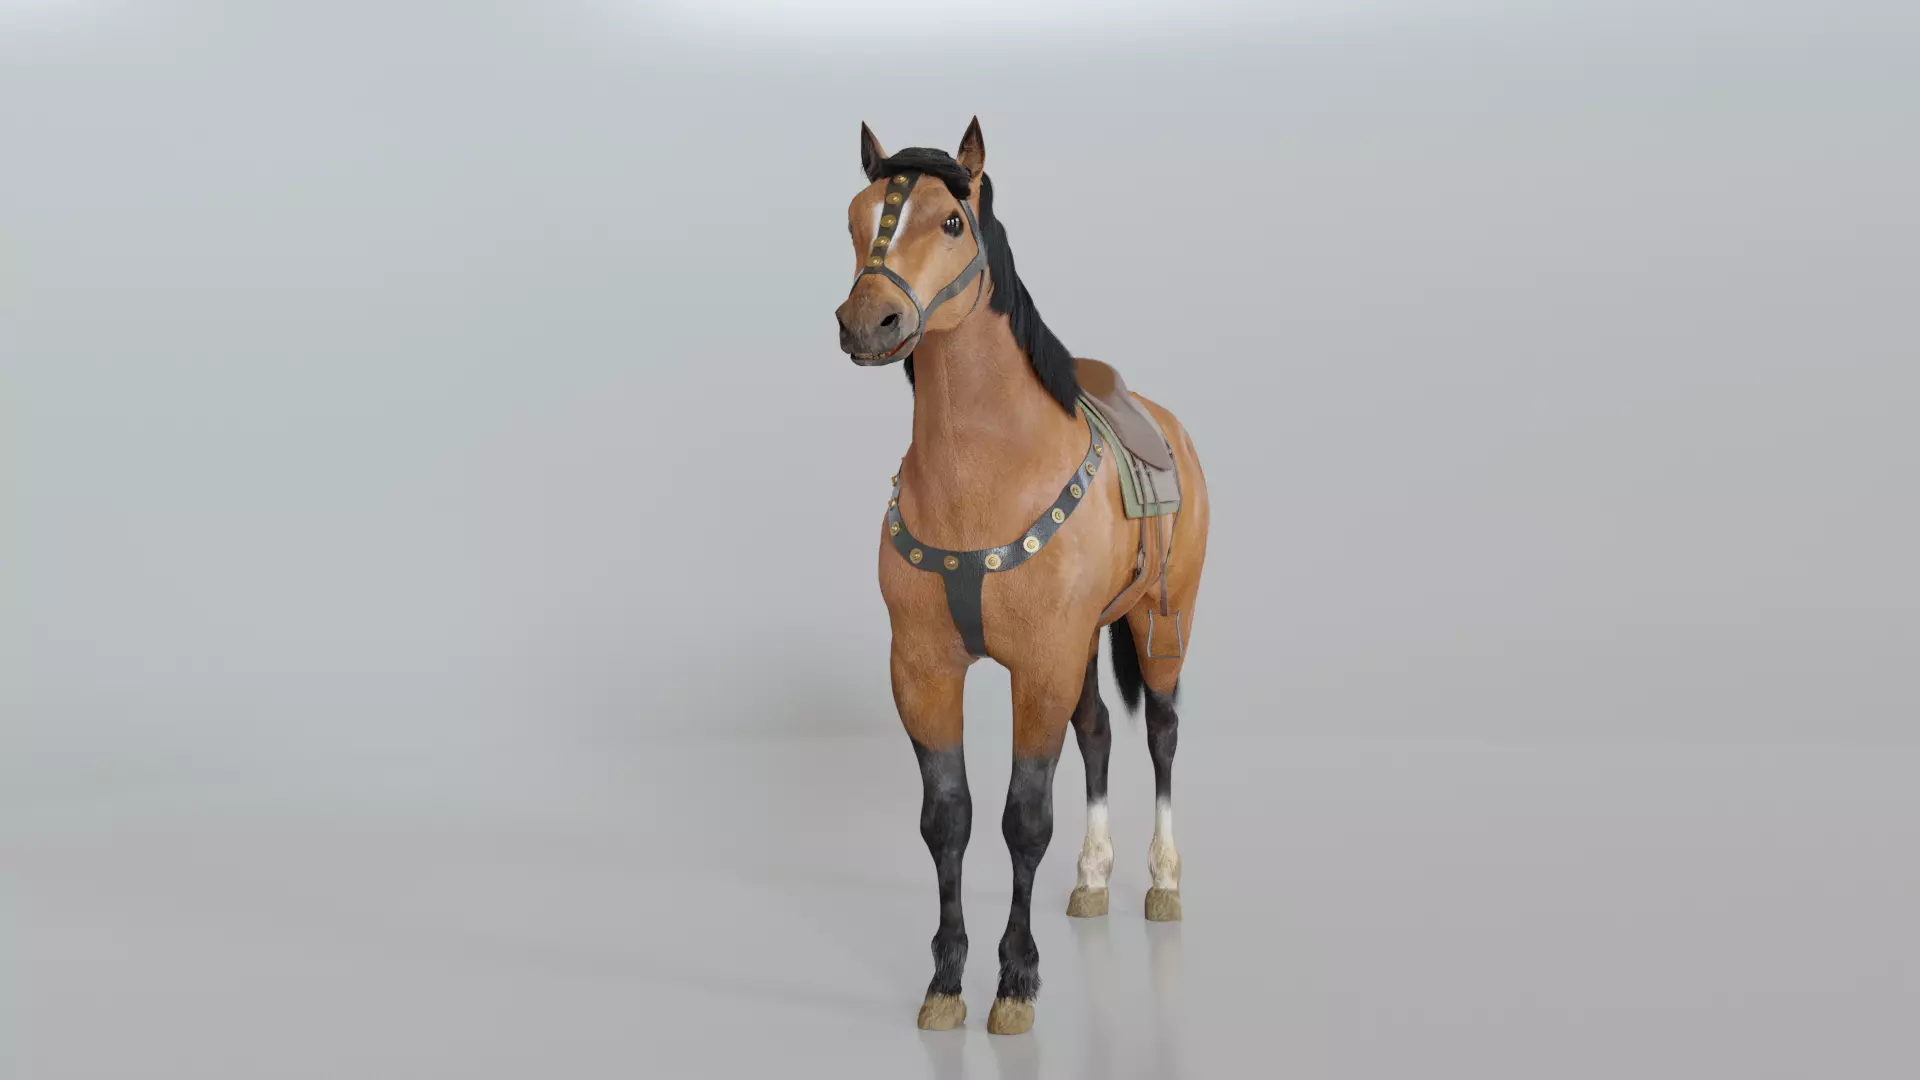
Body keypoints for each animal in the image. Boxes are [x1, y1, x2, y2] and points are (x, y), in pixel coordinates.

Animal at [835, 118, 1211, 1036]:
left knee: (1161, 733)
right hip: (1087, 645)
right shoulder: (925, 669)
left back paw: (1162, 883)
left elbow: (1023, 818)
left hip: (1164, 621)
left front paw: (1015, 982)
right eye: (857, 217)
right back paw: (1092, 879)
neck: (982, 477)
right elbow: (949, 819)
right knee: (1101, 734)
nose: (868, 321)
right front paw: (945, 982)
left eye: (951, 222)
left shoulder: (1038, 666)